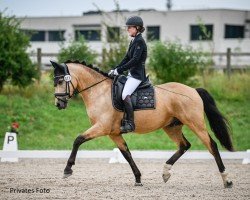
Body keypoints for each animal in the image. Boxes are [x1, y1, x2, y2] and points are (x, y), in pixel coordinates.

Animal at [50, 60, 234, 188]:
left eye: (60, 82)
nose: (58, 104)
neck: (99, 92)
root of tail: (193, 90)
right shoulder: (113, 133)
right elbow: (126, 154)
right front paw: (138, 178)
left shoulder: (101, 128)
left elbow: (78, 139)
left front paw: (68, 169)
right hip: (172, 127)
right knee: (184, 145)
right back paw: (166, 172)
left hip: (196, 124)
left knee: (212, 146)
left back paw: (227, 180)